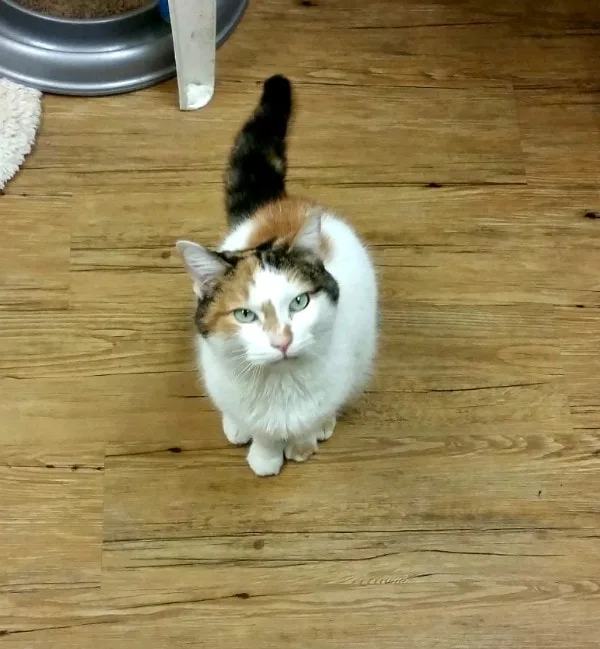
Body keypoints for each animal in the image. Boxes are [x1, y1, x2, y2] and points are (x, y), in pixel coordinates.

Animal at [176, 74, 378, 476]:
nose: (282, 341)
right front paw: (265, 458)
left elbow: (308, 422)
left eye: (300, 302)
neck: (280, 387)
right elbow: (263, 435)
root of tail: (280, 204)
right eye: (244, 314)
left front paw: (302, 445)